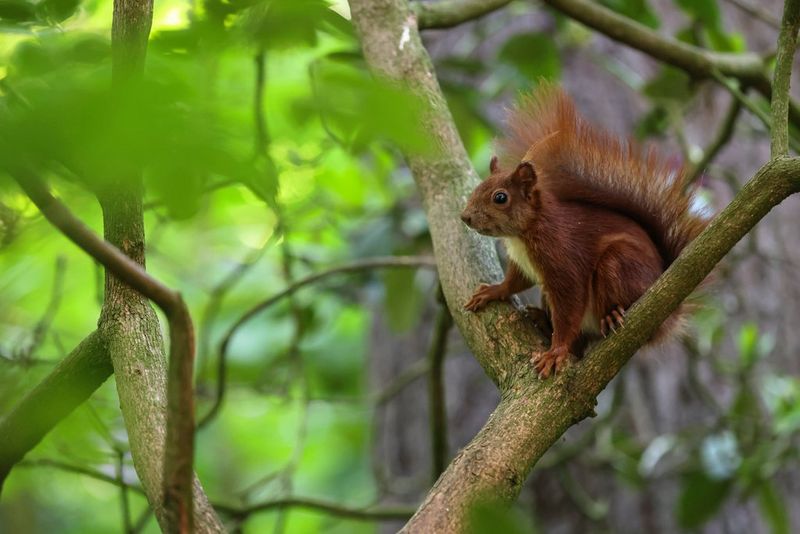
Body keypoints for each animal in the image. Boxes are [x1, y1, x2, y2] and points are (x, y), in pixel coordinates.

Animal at [460, 85, 708, 378]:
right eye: (478, 187)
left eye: (500, 198)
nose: (465, 217)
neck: (524, 233)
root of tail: (669, 315)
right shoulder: (523, 264)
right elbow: (515, 282)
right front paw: (493, 291)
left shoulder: (562, 258)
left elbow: (570, 306)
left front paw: (555, 352)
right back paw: (542, 319)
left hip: (618, 264)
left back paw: (611, 315)